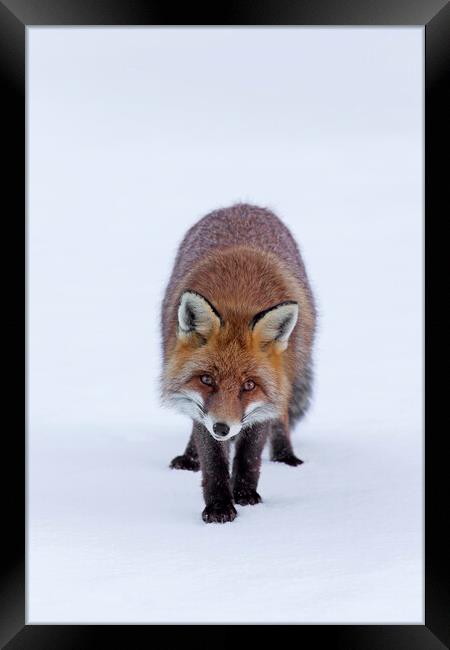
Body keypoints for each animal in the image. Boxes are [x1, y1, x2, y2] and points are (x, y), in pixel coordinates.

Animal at [162, 202, 316, 520]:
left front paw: (245, 494)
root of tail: (243, 205)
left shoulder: (262, 401)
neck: (238, 300)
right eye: (207, 379)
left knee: (281, 418)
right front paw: (220, 506)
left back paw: (285, 456)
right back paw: (189, 457)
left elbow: (249, 454)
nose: (223, 429)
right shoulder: (205, 412)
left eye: (248, 385)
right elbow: (212, 460)